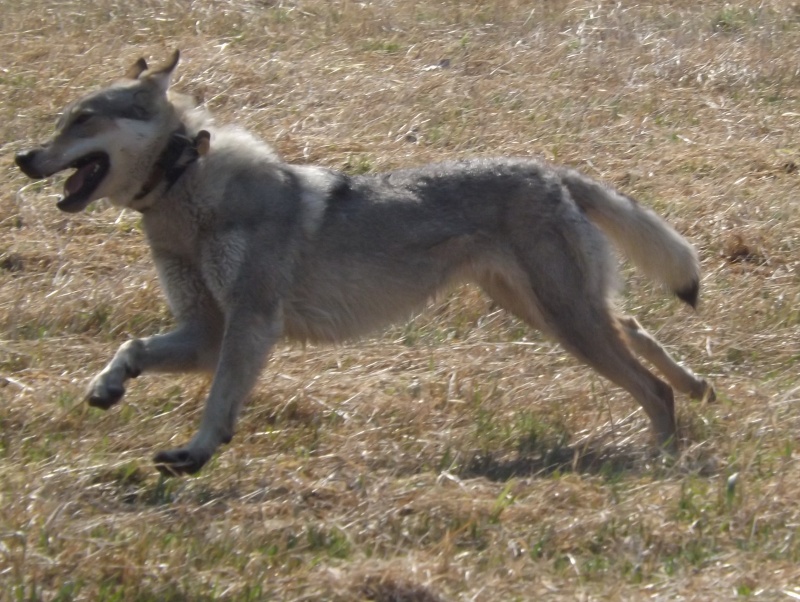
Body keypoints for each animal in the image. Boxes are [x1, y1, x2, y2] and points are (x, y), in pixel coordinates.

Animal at [12, 51, 716, 474]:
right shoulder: (205, 332)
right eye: (62, 119)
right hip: (547, 312)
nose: (21, 157)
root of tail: (553, 172)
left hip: (564, 320)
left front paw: (196, 453)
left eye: (82, 119)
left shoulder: (248, 326)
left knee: (647, 383)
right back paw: (696, 388)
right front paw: (108, 388)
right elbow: (131, 348)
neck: (189, 193)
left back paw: (659, 455)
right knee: (641, 332)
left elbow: (217, 403)